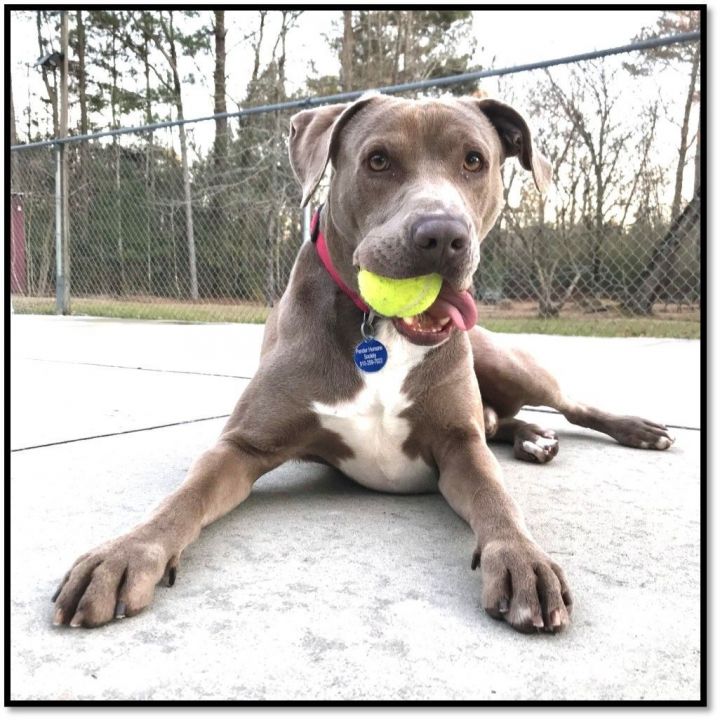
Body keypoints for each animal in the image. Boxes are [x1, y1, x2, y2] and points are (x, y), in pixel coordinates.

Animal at [52, 93, 676, 632]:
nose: (442, 235)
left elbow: (498, 499)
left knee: (564, 405)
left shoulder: (460, 444)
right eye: (378, 160)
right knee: (506, 420)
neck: (377, 329)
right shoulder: (243, 446)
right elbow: (184, 497)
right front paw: (125, 553)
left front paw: (525, 560)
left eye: (475, 161)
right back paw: (534, 439)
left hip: (506, 360)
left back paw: (630, 429)